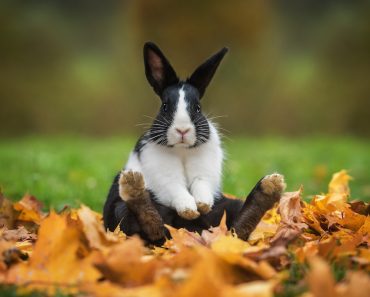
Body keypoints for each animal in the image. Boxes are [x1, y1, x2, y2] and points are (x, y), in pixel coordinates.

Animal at [102, 41, 288, 244]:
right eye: (165, 107)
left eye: (198, 108)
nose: (182, 130)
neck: (182, 150)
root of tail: (191, 231)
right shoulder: (163, 175)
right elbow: (176, 188)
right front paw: (189, 209)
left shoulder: (205, 172)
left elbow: (201, 184)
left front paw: (202, 205)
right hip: (120, 210)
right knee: (152, 226)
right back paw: (134, 186)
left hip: (228, 206)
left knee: (237, 229)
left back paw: (268, 188)